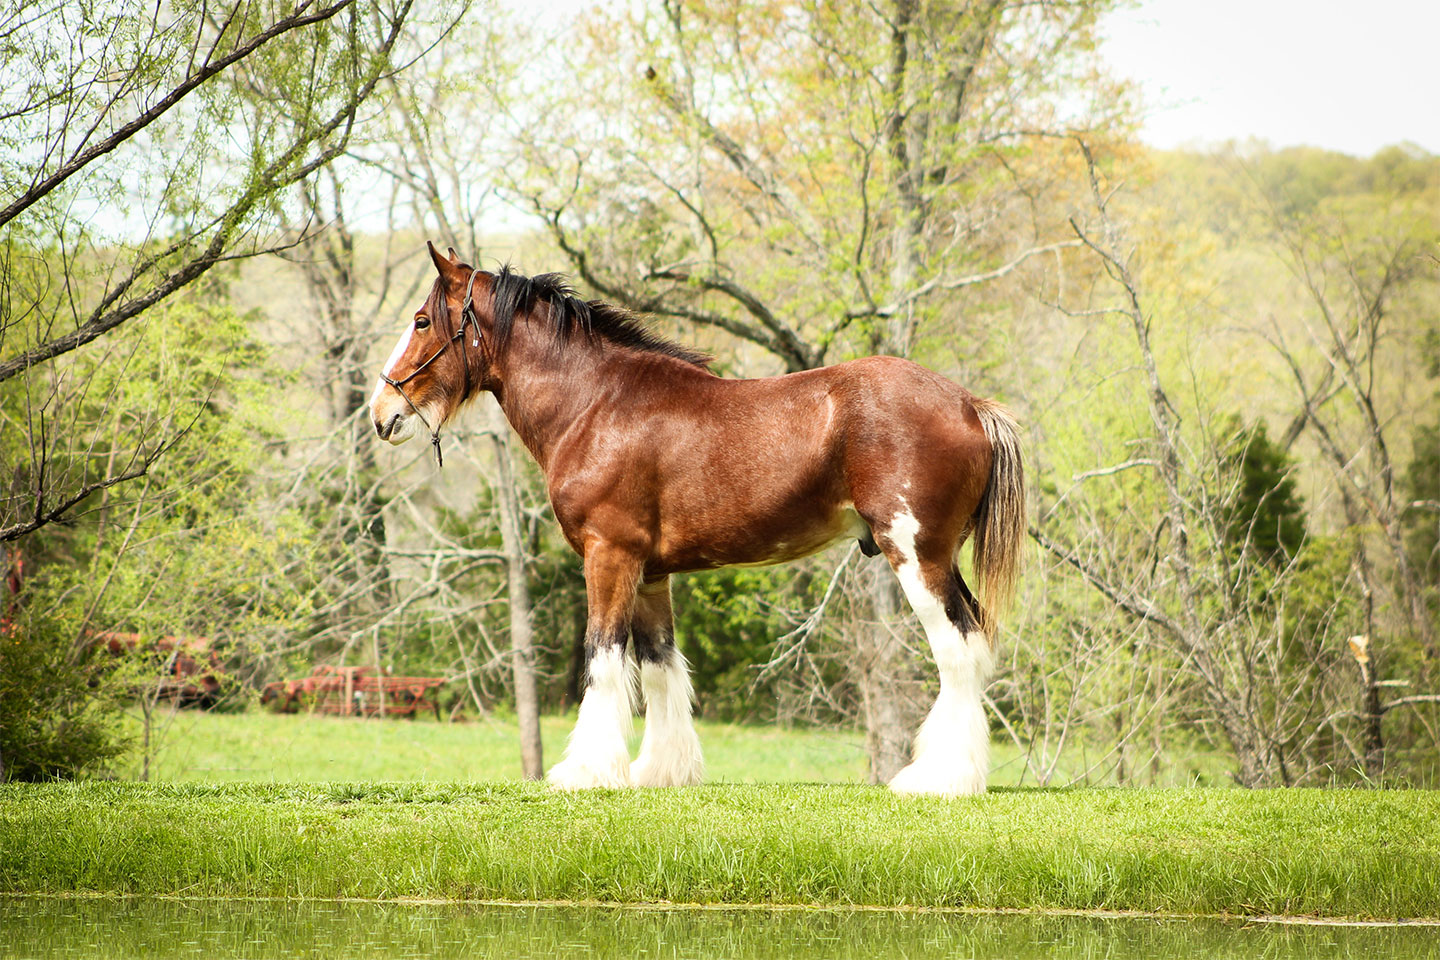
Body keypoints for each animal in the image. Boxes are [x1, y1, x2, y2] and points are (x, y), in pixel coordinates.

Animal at [369, 243, 1025, 796]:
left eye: (422, 321)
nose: (381, 412)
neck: (596, 404)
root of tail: (971, 406)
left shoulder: (609, 555)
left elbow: (602, 658)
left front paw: (585, 772)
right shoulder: (650, 572)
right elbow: (659, 667)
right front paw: (660, 772)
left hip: (915, 556)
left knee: (956, 649)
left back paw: (938, 779)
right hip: (939, 559)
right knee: (973, 641)